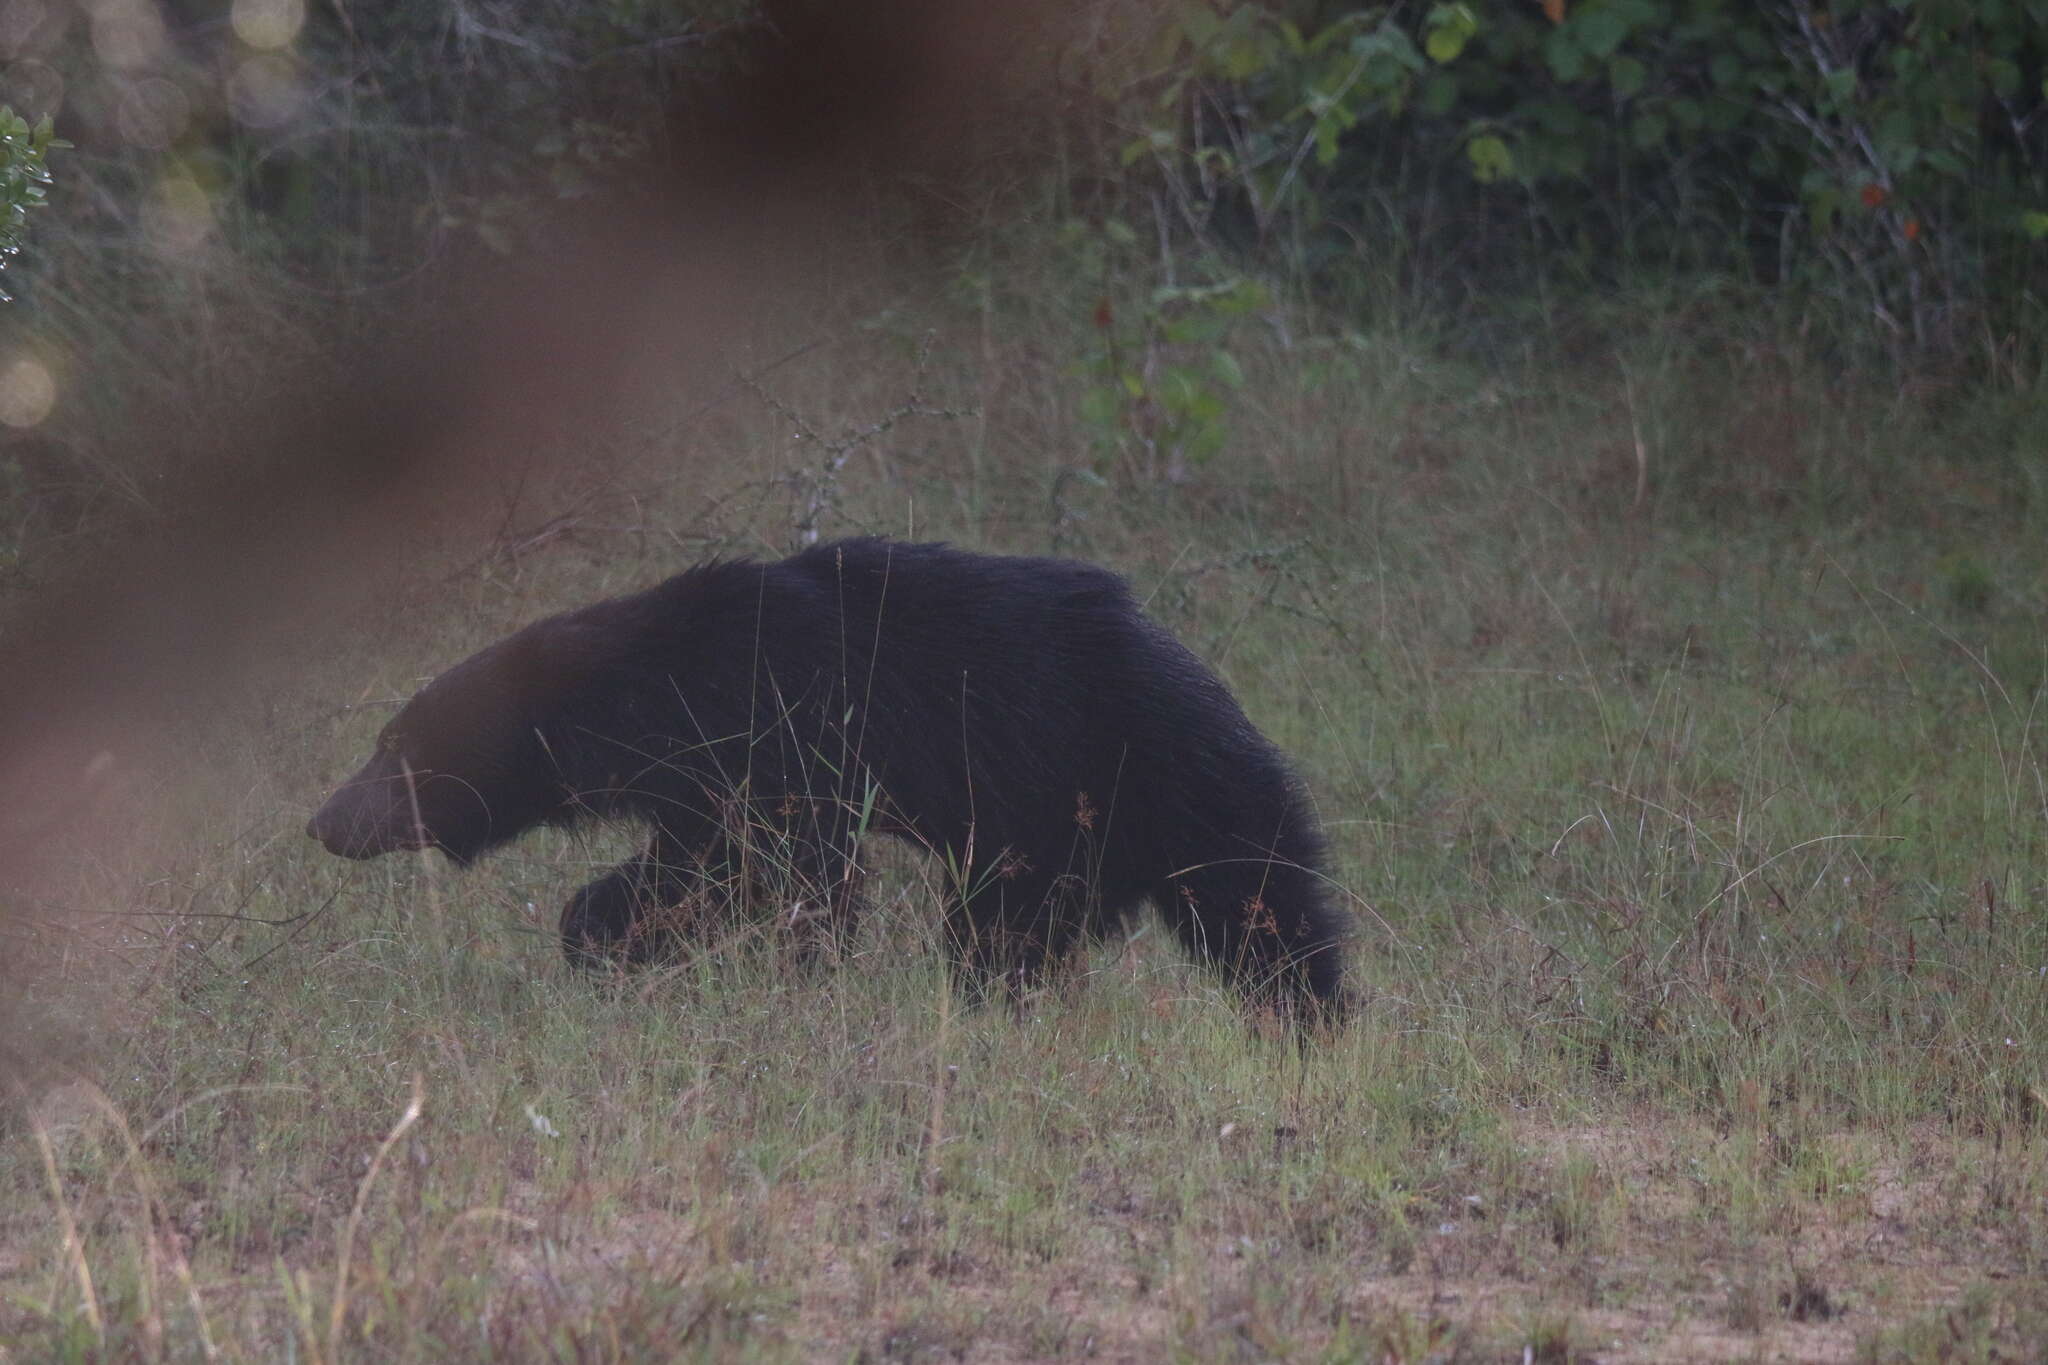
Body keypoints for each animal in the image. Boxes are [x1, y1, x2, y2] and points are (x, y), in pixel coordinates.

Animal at [307, 540, 1343, 1019]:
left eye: (394, 747)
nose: (323, 820)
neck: (654, 683)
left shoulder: (777, 728)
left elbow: (787, 867)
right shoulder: (706, 776)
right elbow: (700, 865)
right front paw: (612, 935)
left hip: (1162, 772)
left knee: (1261, 901)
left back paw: (1310, 1017)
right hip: (1059, 840)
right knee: (1011, 929)